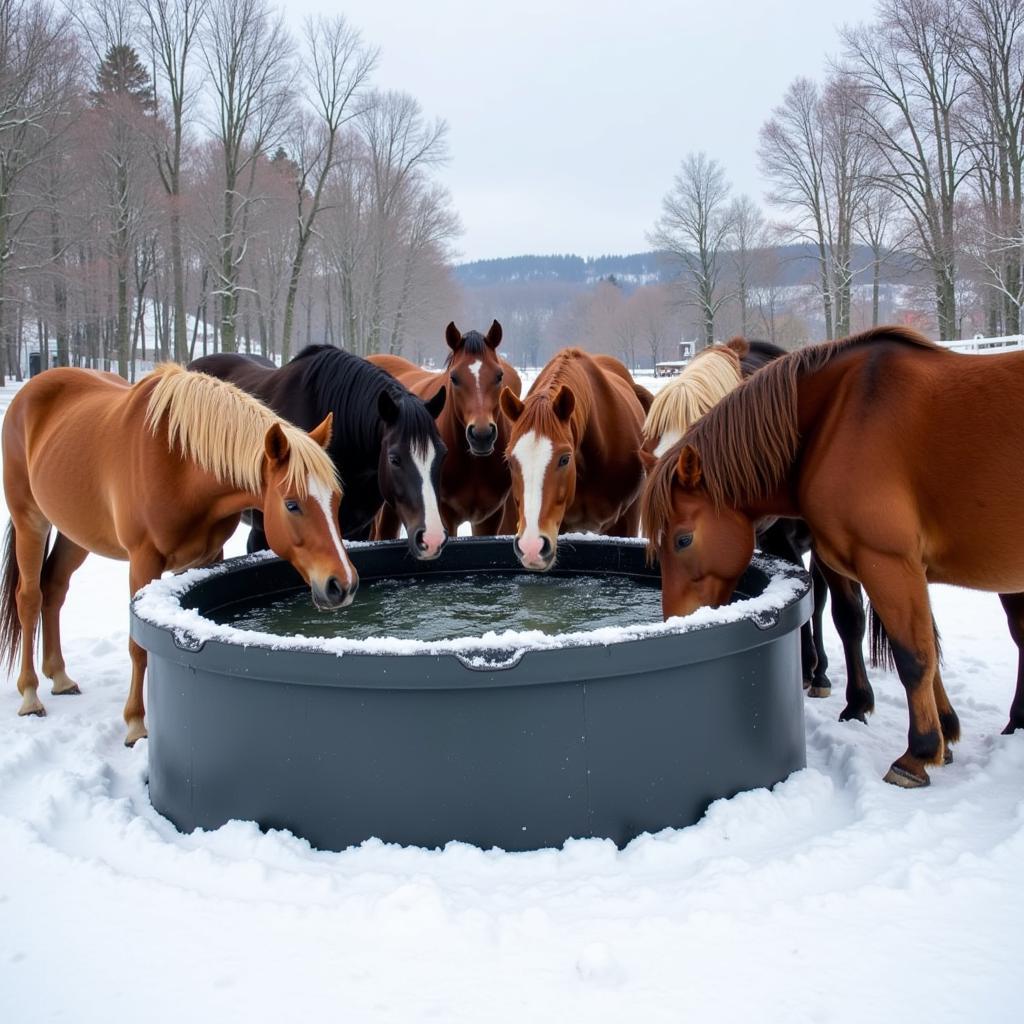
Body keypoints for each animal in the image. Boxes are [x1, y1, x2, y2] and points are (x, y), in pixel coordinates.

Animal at [1, 366, 360, 745]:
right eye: (292, 504)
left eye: (336, 499)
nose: (343, 585)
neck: (179, 464)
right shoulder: (143, 560)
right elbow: (138, 645)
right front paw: (135, 724)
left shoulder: (207, 557)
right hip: (30, 520)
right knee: (29, 598)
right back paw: (30, 694)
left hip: (75, 534)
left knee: (54, 590)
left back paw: (59, 676)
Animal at [370, 319, 524, 536]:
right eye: (454, 377)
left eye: (499, 375)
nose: (482, 435)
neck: (474, 466)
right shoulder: (445, 517)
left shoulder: (489, 519)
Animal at [638, 323, 1024, 786]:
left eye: (682, 540)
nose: (675, 623)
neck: (839, 419)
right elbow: (904, 638)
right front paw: (944, 733)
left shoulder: (888, 562)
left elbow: (913, 654)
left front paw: (918, 753)